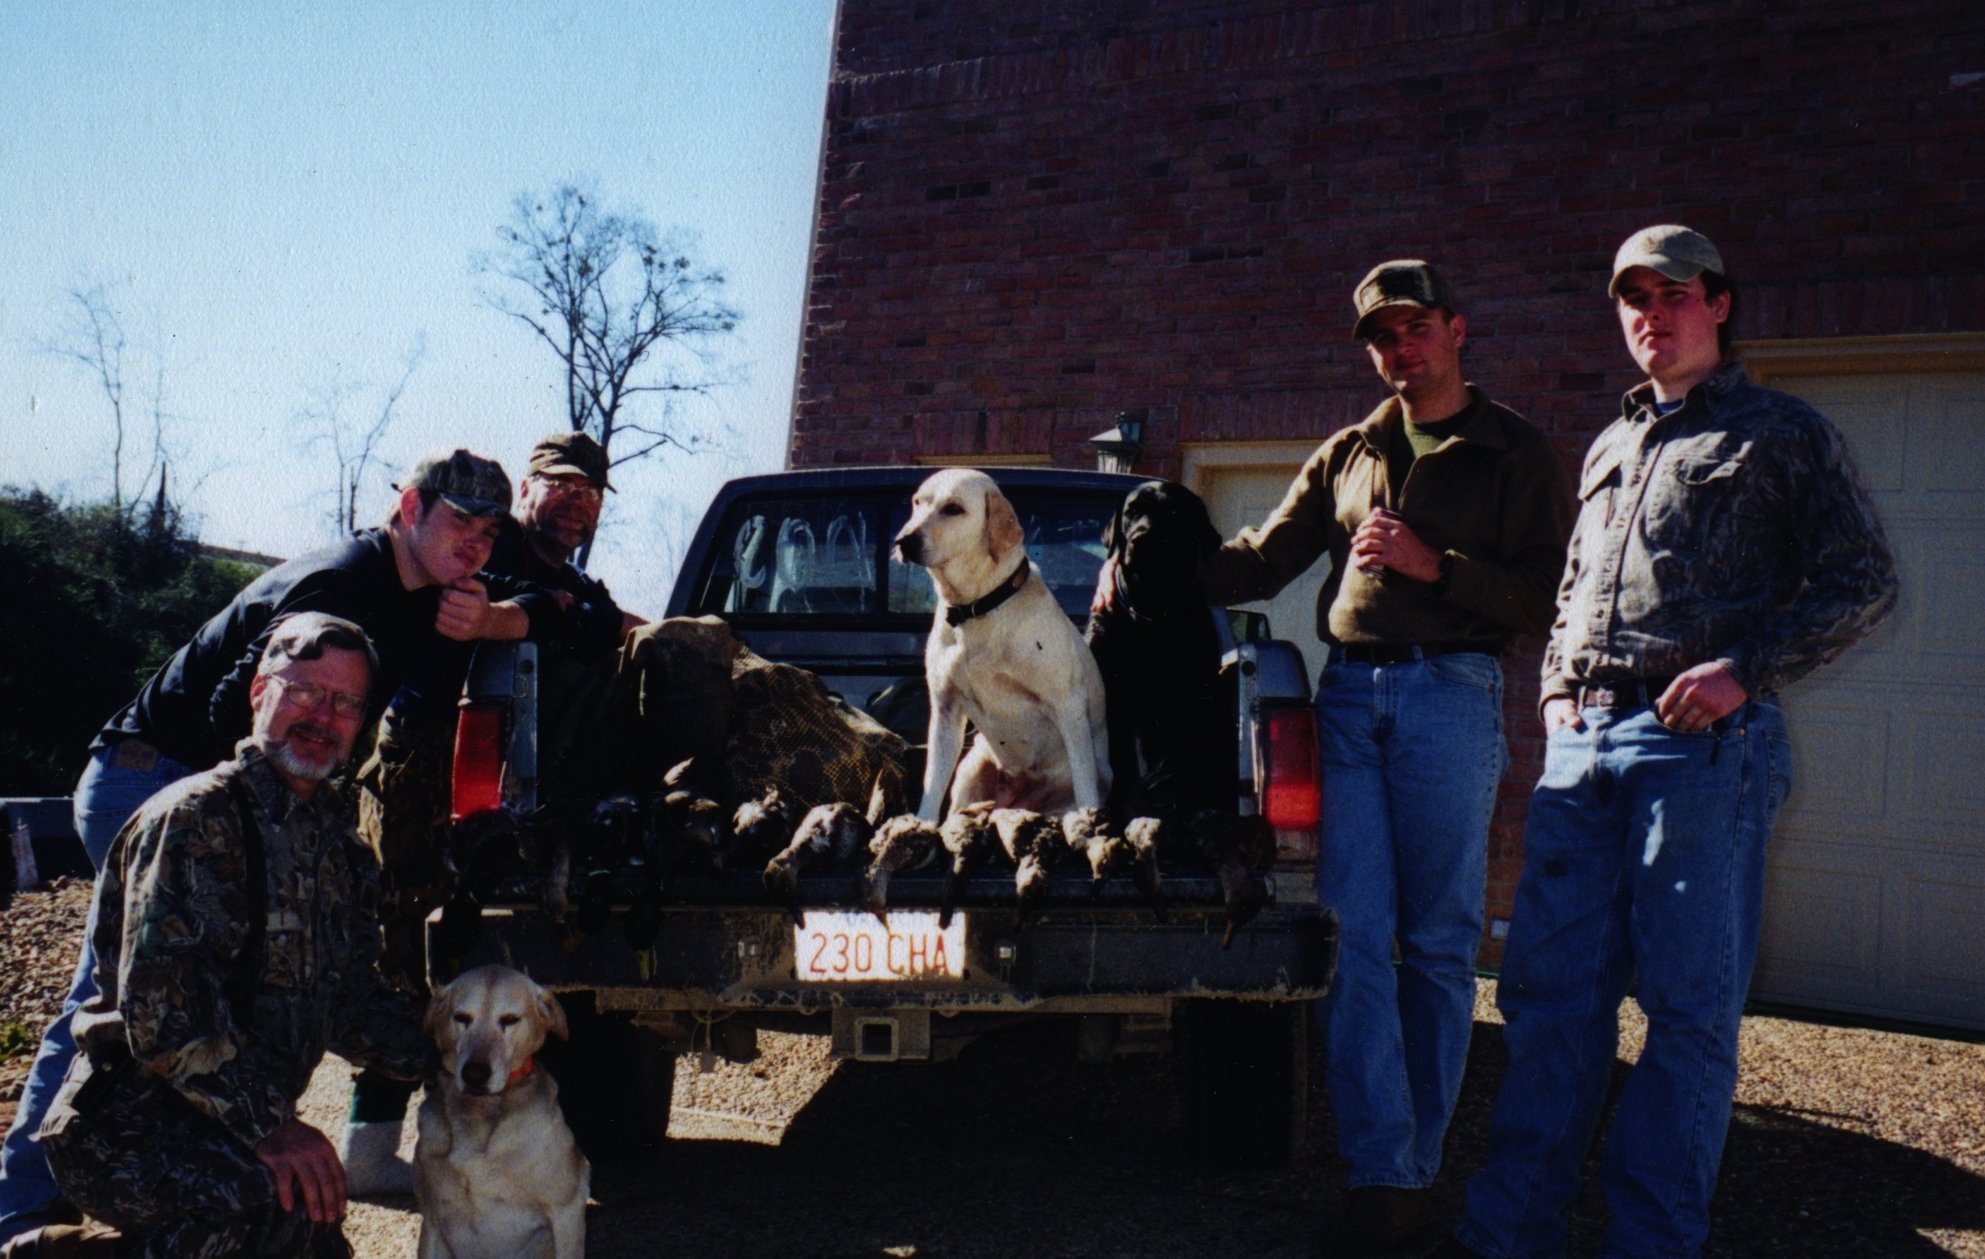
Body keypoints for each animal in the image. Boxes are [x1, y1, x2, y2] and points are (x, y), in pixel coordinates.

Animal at [1087, 474, 1222, 818]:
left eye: (1173, 513)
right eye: (1131, 512)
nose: (1142, 538)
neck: (1150, 610)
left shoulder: (1187, 698)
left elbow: (1171, 764)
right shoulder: (1112, 697)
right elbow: (1119, 759)